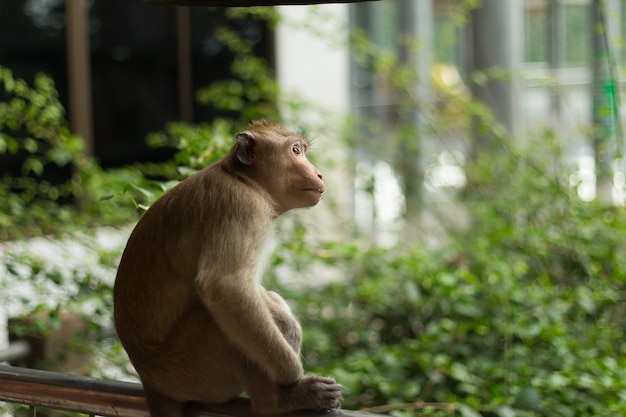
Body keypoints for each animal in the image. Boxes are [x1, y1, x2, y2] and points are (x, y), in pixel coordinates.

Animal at [114, 118, 344, 416]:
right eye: (295, 151)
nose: (319, 174)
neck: (245, 180)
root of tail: (149, 382)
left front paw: (285, 320)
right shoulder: (242, 207)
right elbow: (226, 287)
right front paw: (291, 372)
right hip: (189, 371)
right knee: (218, 318)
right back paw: (279, 400)